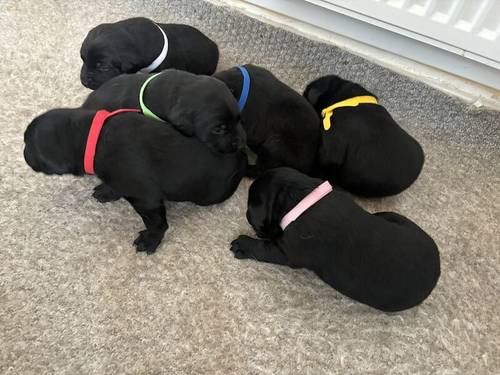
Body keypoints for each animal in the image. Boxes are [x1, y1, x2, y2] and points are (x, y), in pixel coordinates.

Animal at [24, 109, 247, 256]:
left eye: (28, 144)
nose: (23, 153)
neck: (92, 137)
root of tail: (241, 156)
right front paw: (108, 191)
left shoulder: (146, 199)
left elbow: (157, 223)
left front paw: (151, 239)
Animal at [231, 169, 442, 312]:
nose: (248, 218)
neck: (302, 198)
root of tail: (437, 272)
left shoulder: (286, 251)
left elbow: (263, 248)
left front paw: (242, 244)